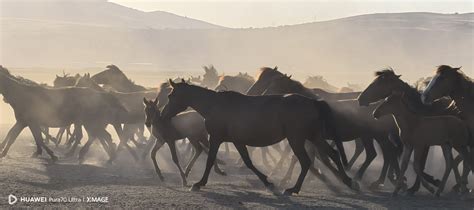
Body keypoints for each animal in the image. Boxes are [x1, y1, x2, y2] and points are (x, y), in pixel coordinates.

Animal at [161, 79, 358, 195]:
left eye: (171, 95)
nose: (163, 115)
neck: (215, 105)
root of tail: (313, 101)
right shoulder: (237, 141)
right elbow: (248, 162)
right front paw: (267, 182)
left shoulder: (216, 138)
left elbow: (210, 160)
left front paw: (198, 183)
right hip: (313, 136)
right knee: (332, 154)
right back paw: (349, 181)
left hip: (296, 139)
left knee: (306, 161)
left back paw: (293, 188)